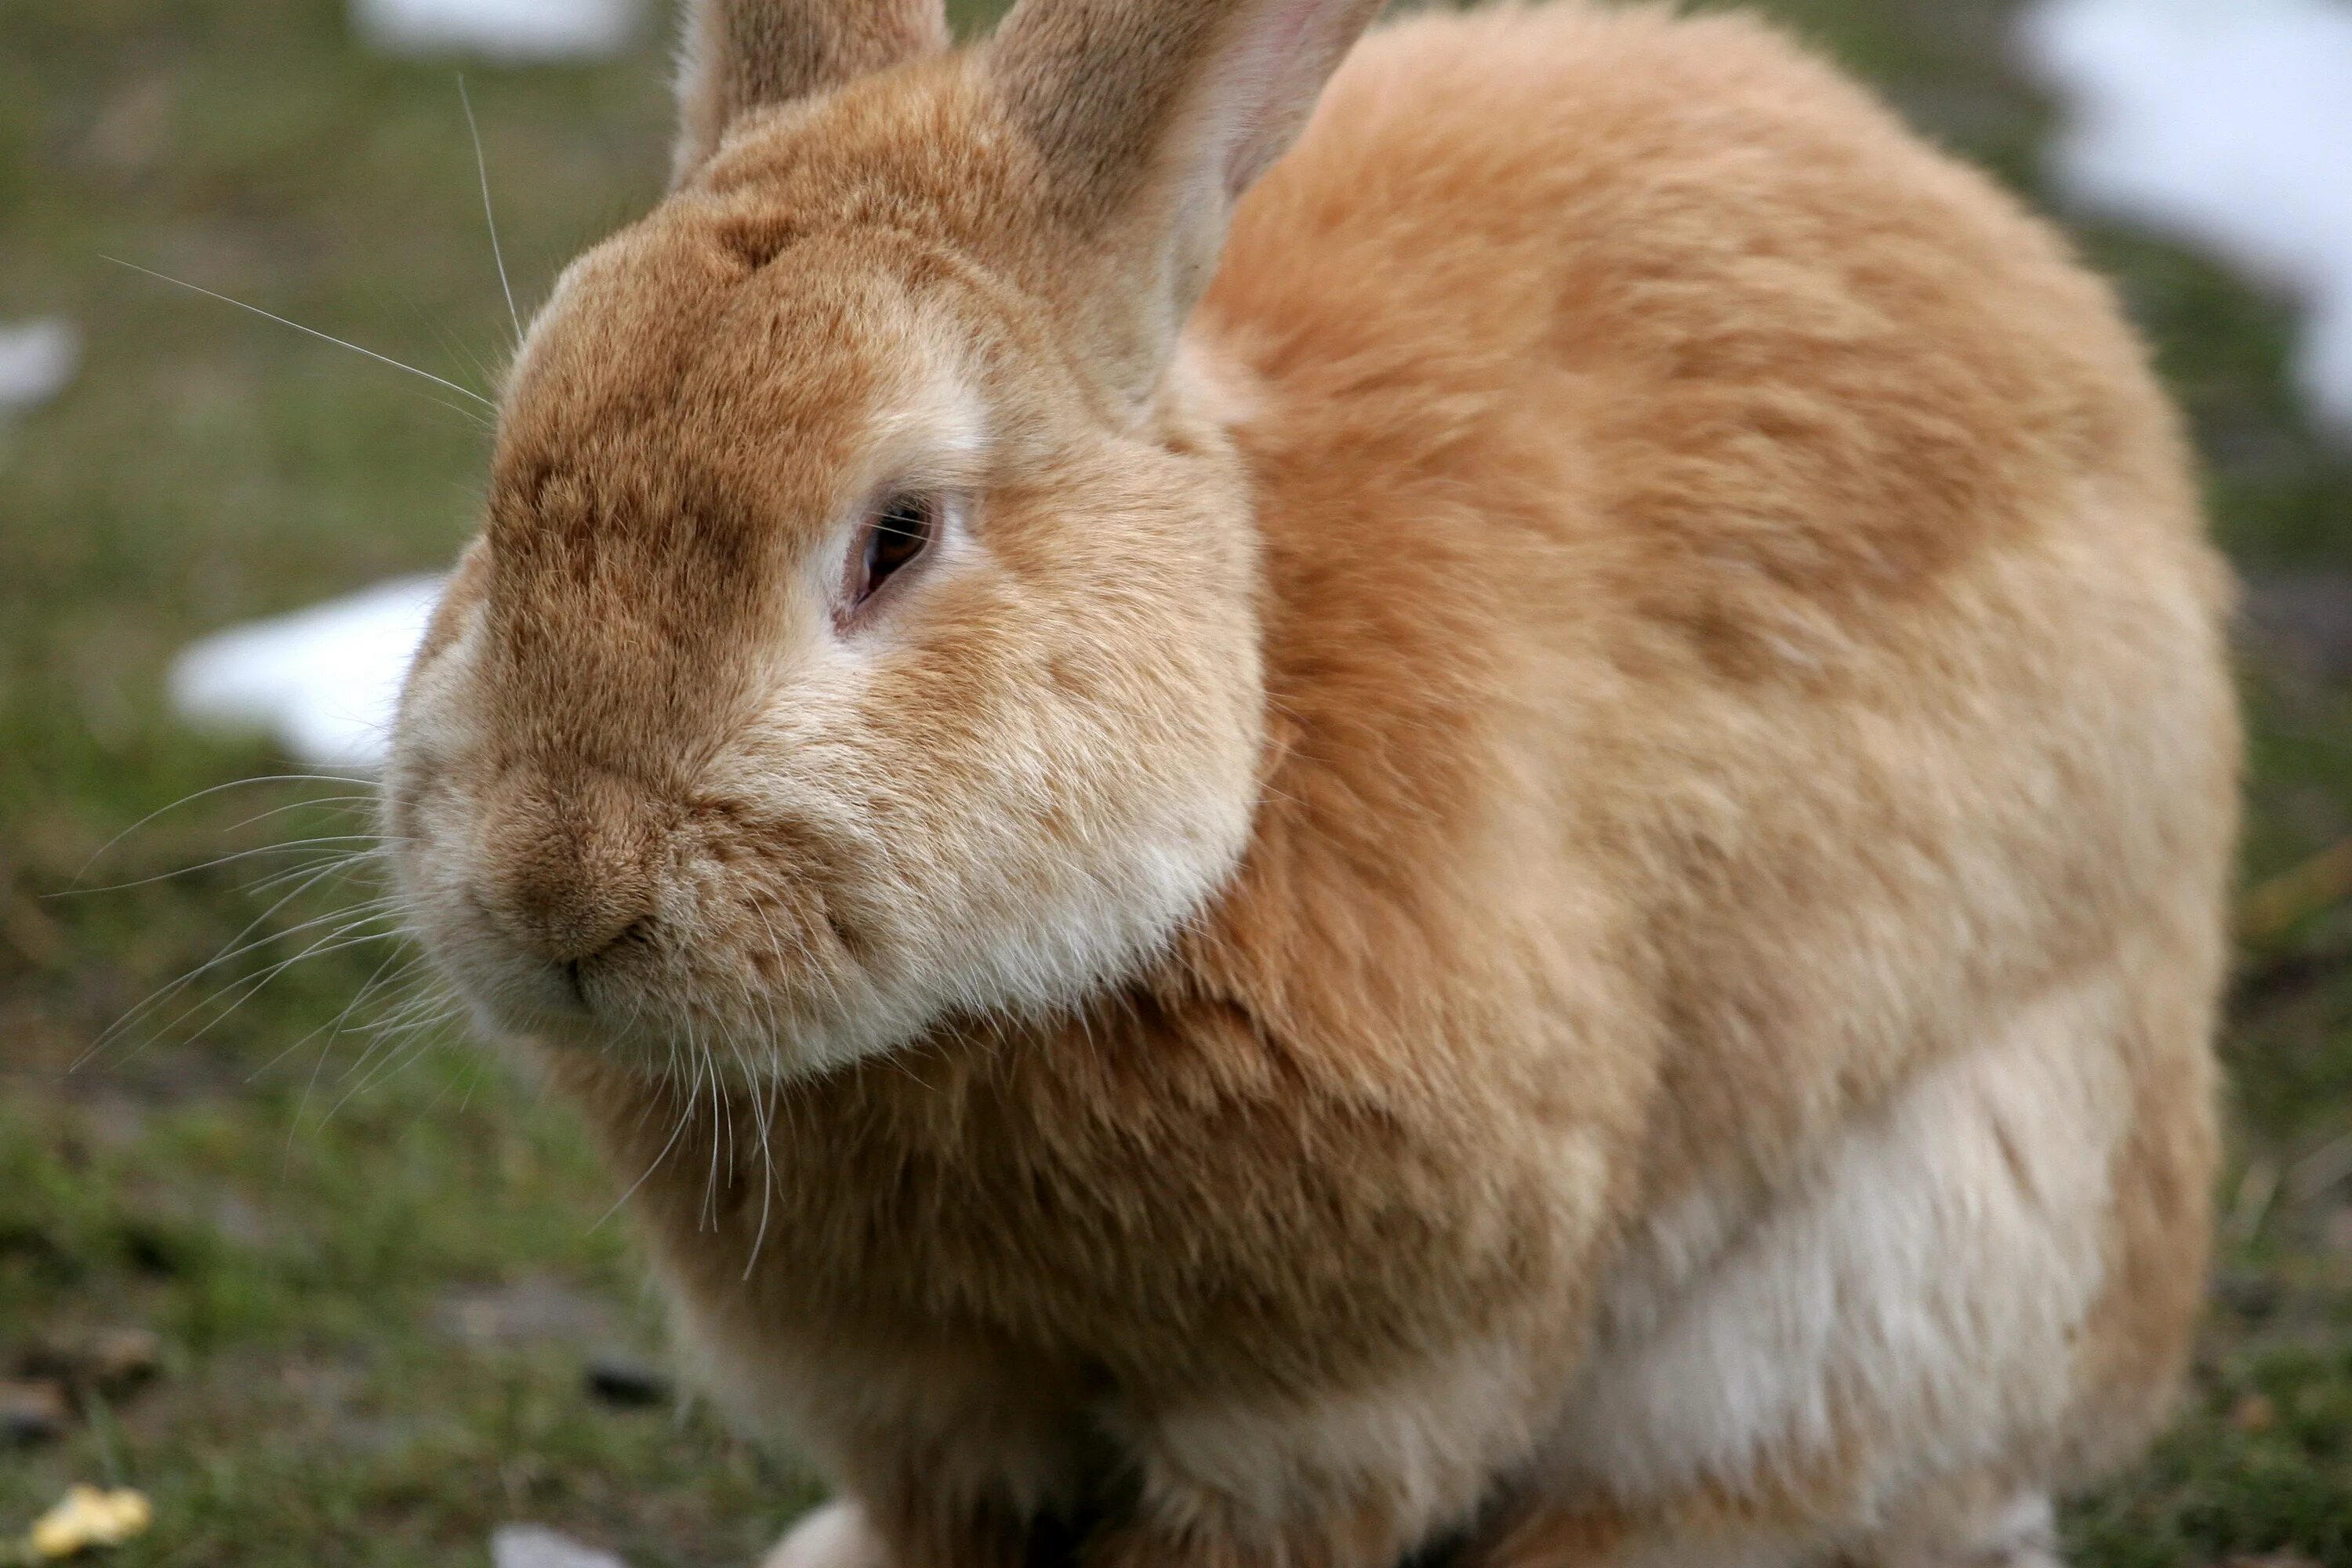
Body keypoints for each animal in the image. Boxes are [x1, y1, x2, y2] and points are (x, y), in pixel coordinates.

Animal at [381, 0, 2239, 1561]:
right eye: (506, 482)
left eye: (893, 537)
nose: (558, 889)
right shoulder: (906, 1393)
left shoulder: (1343, 1404)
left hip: (1898, 1271)